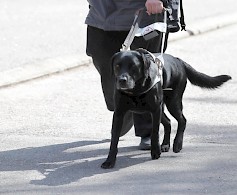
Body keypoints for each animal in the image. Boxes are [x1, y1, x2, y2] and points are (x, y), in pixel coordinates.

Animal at [101, 48, 231, 168]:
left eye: (133, 66)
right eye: (117, 66)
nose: (122, 80)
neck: (135, 91)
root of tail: (178, 60)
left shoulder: (155, 110)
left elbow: (155, 132)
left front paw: (155, 152)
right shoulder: (119, 113)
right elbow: (114, 138)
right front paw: (109, 161)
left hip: (172, 102)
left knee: (182, 120)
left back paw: (177, 144)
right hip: (156, 109)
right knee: (168, 122)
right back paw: (165, 145)